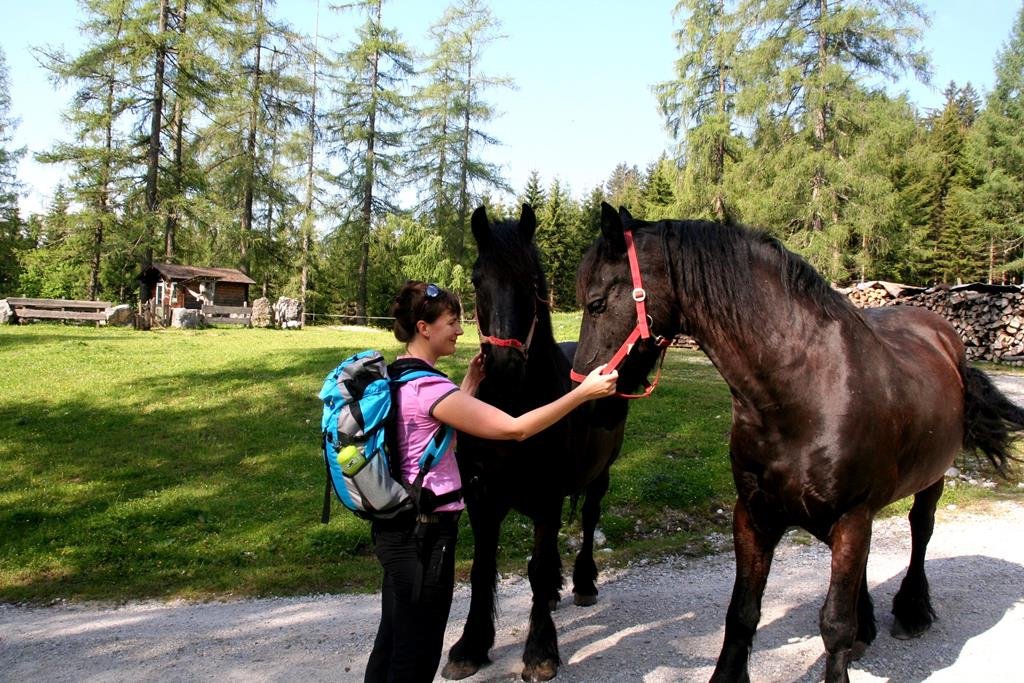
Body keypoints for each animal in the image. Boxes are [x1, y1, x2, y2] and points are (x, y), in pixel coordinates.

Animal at [444, 204, 626, 683]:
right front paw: (470, 645)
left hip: (600, 477)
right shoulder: (482, 498)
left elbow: (539, 567)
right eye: (477, 280)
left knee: (588, 519)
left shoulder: (546, 496)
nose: (503, 365)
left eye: (529, 281)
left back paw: (582, 583)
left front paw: (540, 651)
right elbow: (483, 569)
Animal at [573, 202, 1019, 683]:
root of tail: (942, 333)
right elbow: (742, 613)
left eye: (597, 303)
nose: (587, 399)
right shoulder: (754, 515)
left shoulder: (850, 516)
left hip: (928, 481)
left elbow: (835, 625)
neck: (803, 391)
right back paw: (869, 624)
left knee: (921, 530)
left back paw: (912, 610)